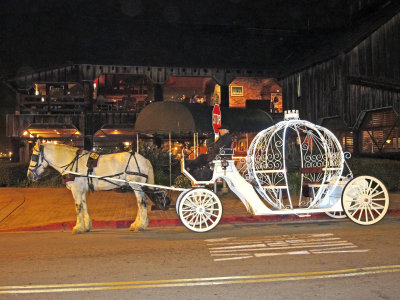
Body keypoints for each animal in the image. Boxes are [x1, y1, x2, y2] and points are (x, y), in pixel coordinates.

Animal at [26, 141, 170, 234]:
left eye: (33, 156)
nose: (29, 175)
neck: (72, 162)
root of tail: (145, 159)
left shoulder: (76, 190)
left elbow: (78, 207)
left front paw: (78, 227)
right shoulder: (82, 190)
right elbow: (84, 206)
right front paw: (87, 226)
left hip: (136, 185)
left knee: (142, 203)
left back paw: (140, 226)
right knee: (141, 203)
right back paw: (137, 224)